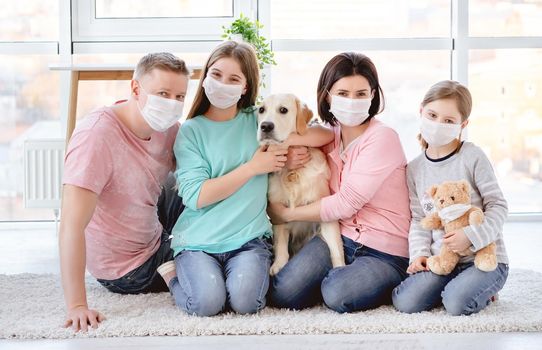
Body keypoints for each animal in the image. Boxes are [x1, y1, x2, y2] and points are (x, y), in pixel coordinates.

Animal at [258, 94, 346, 274]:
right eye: (261, 110)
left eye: (283, 110)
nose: (265, 126)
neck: (293, 171)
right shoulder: (278, 213)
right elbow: (281, 246)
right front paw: (278, 265)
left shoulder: (324, 212)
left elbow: (336, 248)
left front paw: (340, 269)